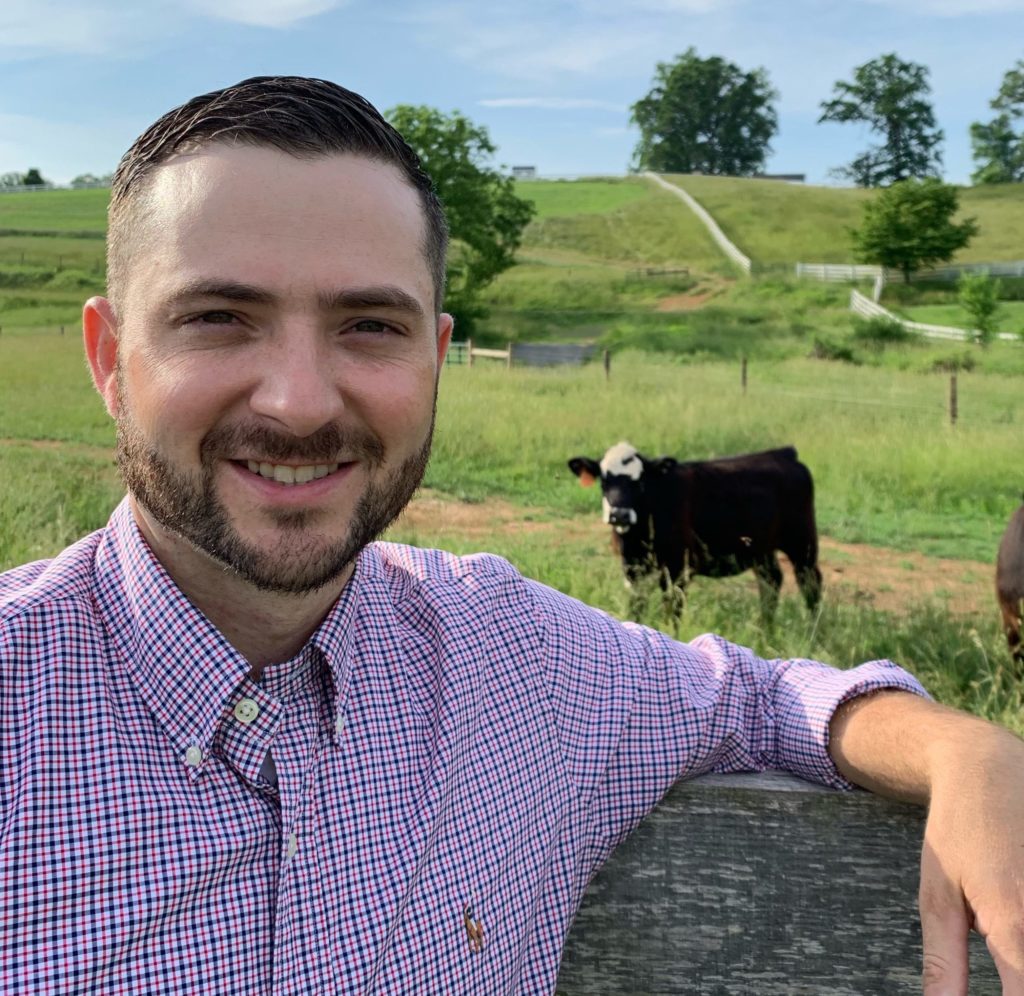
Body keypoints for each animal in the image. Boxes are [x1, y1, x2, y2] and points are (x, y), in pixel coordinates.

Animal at [569, 440, 823, 618]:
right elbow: (636, 611)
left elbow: (672, 614)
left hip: (802, 543)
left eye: (639, 482)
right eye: (604, 481)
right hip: (761, 549)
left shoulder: (678, 570)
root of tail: (783, 453)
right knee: (771, 582)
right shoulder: (634, 570)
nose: (619, 514)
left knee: (810, 584)